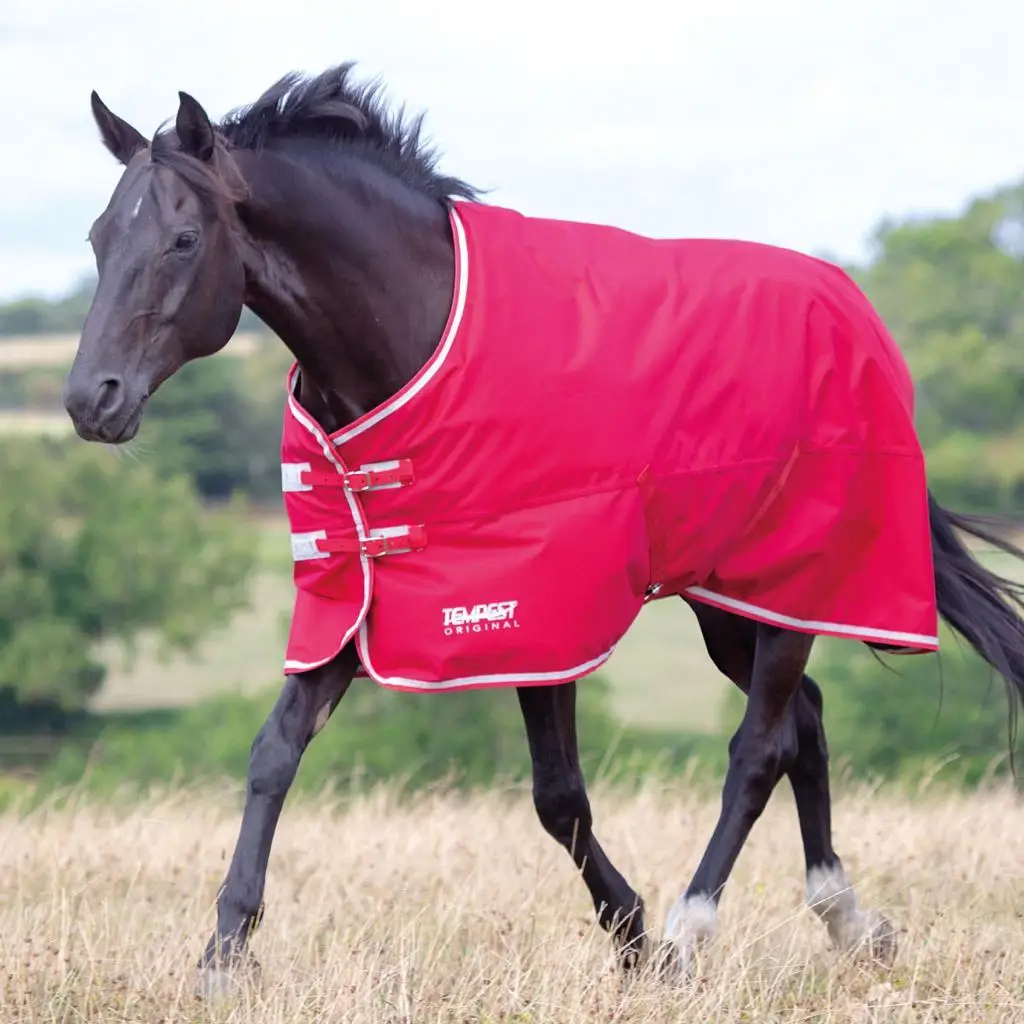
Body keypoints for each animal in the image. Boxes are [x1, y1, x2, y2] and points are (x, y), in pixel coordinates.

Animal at [62, 64, 1024, 998]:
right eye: (100, 238)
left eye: (183, 241)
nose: (89, 399)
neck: (418, 336)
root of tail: (854, 312)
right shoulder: (355, 595)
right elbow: (274, 752)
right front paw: (225, 953)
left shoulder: (538, 610)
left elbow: (558, 795)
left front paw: (637, 938)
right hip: (727, 595)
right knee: (805, 724)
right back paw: (849, 922)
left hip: (793, 577)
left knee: (758, 746)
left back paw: (692, 931)